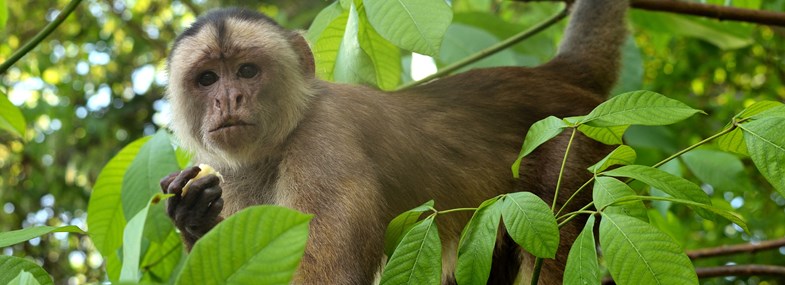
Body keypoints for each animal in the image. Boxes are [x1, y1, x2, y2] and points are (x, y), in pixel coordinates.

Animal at [161, 0, 632, 282]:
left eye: (246, 71)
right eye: (207, 78)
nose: (228, 99)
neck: (281, 141)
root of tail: (555, 73)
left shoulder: (324, 141)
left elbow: (329, 277)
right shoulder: (235, 179)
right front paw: (193, 216)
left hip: (577, 137)